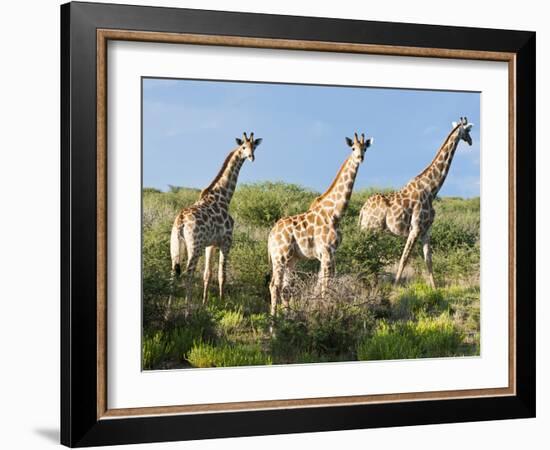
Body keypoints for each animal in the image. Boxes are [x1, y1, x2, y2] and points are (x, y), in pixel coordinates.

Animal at [170, 131, 264, 306]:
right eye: (243, 146)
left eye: (254, 146)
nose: (251, 157)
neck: (224, 197)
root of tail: (181, 221)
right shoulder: (226, 242)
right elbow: (222, 275)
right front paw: (222, 302)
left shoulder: (211, 244)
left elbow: (208, 274)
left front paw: (205, 302)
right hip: (195, 246)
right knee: (188, 273)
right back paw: (187, 308)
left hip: (176, 245)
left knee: (174, 273)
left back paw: (169, 309)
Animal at [268, 134, 376, 316]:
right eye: (353, 148)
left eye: (365, 148)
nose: (360, 157)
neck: (335, 213)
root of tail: (270, 236)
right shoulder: (326, 252)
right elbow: (325, 286)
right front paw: (324, 311)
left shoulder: (330, 253)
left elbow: (322, 284)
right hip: (280, 257)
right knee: (274, 286)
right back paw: (273, 320)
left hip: (291, 259)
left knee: (285, 289)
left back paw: (287, 317)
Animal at [360, 117, 476, 288]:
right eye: (468, 130)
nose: (471, 141)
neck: (432, 189)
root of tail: (362, 210)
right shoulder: (415, 228)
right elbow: (404, 258)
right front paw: (396, 285)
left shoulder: (426, 230)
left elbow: (428, 260)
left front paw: (434, 288)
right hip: (372, 230)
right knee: (368, 252)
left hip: (369, 230)